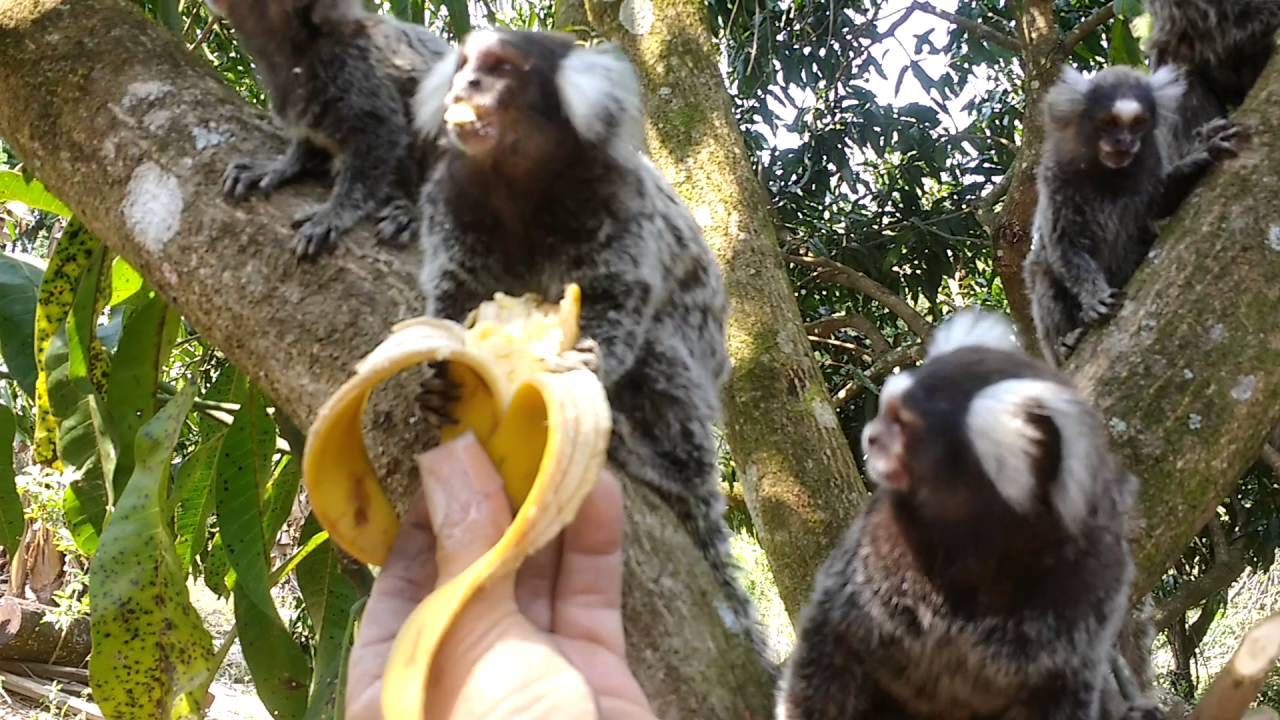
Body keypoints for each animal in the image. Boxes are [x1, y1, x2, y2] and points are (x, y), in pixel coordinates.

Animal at [206, 0, 450, 256]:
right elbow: (307, 139)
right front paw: (281, 165)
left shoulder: (355, 68)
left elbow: (382, 135)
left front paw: (334, 213)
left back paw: (413, 212)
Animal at [414, 32, 762, 655]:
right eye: (464, 67)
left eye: (500, 69)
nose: (467, 85)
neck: (518, 184)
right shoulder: (453, 199)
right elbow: (453, 289)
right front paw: (439, 379)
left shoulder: (613, 198)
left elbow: (618, 295)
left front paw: (585, 363)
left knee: (662, 360)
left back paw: (670, 469)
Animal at [778, 310, 1162, 717]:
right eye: (885, 409)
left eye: (902, 423)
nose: (869, 436)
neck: (974, 547)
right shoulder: (871, 558)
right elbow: (831, 640)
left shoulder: (1088, 595)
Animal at [1024, 65, 1244, 363]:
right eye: (1108, 123)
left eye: (1138, 123)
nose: (1124, 142)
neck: (1108, 175)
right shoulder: (1055, 179)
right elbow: (1063, 246)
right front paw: (1094, 298)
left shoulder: (1149, 169)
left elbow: (1159, 204)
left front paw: (1199, 155)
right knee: (1041, 270)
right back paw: (1066, 343)